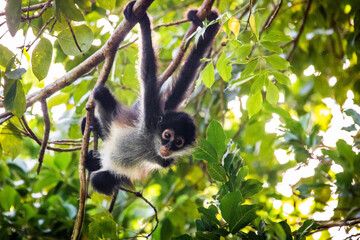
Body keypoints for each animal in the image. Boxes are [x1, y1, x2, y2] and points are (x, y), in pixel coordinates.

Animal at [82, 1, 221, 195]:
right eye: (167, 135)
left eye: (178, 143)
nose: (167, 148)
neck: (151, 143)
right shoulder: (149, 115)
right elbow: (147, 75)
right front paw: (144, 22)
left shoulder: (165, 160)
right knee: (100, 92)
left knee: (100, 180)